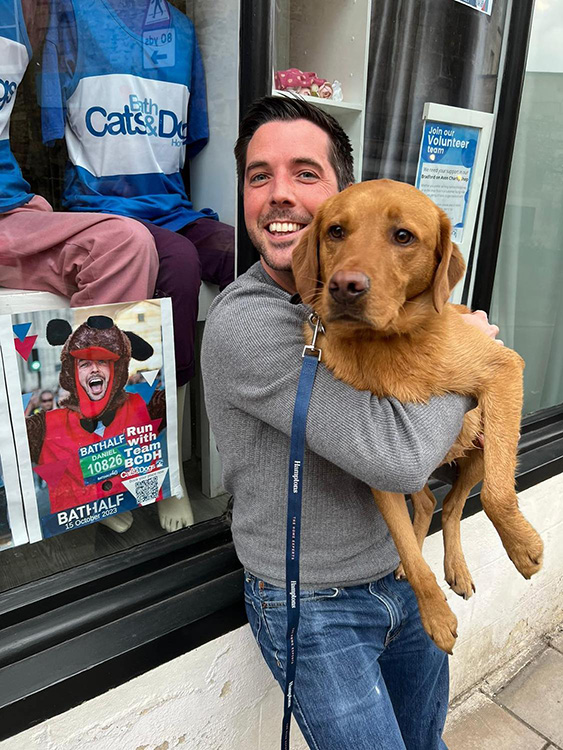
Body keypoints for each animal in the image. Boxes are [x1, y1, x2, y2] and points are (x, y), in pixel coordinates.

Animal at [294, 179, 544, 656]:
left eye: (403, 236)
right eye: (336, 231)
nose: (344, 286)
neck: (389, 343)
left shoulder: (504, 370)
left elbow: (497, 496)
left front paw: (523, 546)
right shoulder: (379, 467)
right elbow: (410, 551)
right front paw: (434, 614)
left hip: (482, 446)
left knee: (455, 505)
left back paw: (458, 567)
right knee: (430, 502)